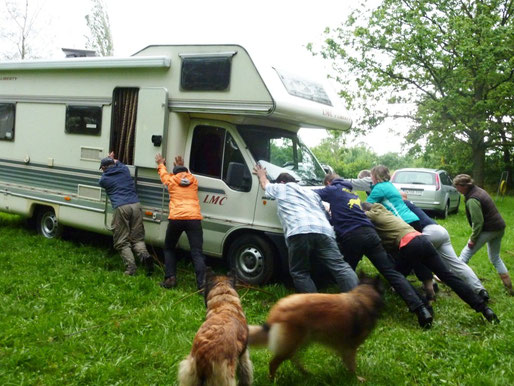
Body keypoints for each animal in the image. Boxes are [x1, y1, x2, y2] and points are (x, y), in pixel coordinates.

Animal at [246, 276, 382, 382]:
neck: (363, 297)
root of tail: (277, 310)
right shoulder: (350, 346)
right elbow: (352, 364)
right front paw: (356, 378)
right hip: (293, 341)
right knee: (274, 362)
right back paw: (273, 380)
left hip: (301, 341)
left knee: (293, 358)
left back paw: (306, 373)